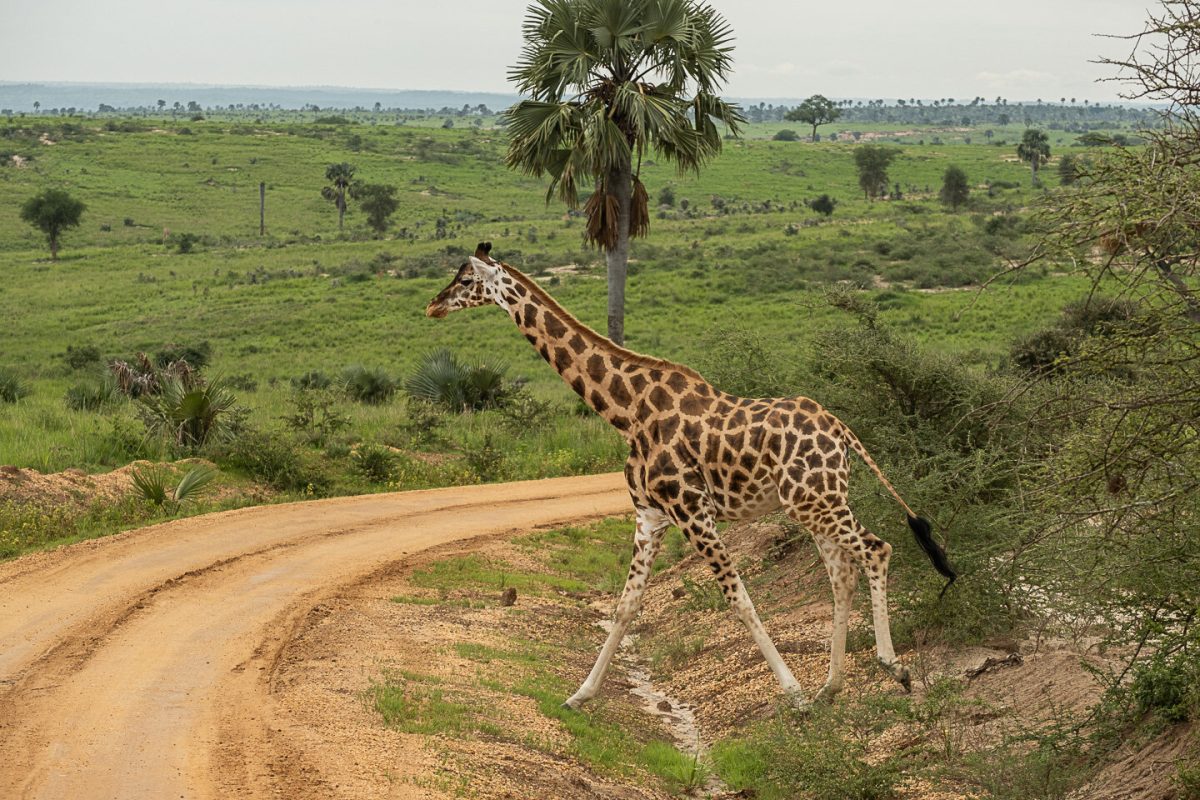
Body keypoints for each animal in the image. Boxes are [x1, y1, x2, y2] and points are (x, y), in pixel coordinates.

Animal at [424, 242, 955, 705]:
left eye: (466, 279)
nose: (432, 306)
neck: (625, 412)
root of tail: (843, 430)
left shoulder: (692, 510)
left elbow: (739, 599)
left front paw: (794, 695)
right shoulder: (650, 516)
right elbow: (625, 607)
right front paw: (579, 695)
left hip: (816, 500)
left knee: (876, 549)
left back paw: (892, 669)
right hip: (812, 503)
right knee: (842, 574)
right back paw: (832, 687)